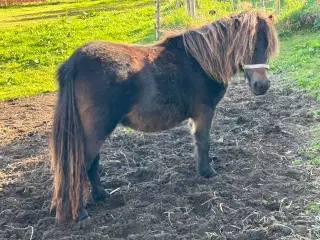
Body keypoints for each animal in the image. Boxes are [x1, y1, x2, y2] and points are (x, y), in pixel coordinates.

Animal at [49, 10, 278, 221]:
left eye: (267, 45)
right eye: (247, 46)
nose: (262, 85)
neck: (200, 62)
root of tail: (74, 63)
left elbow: (198, 143)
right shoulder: (204, 112)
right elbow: (204, 141)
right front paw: (208, 172)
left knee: (92, 163)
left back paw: (101, 195)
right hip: (96, 130)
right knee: (78, 166)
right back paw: (80, 214)